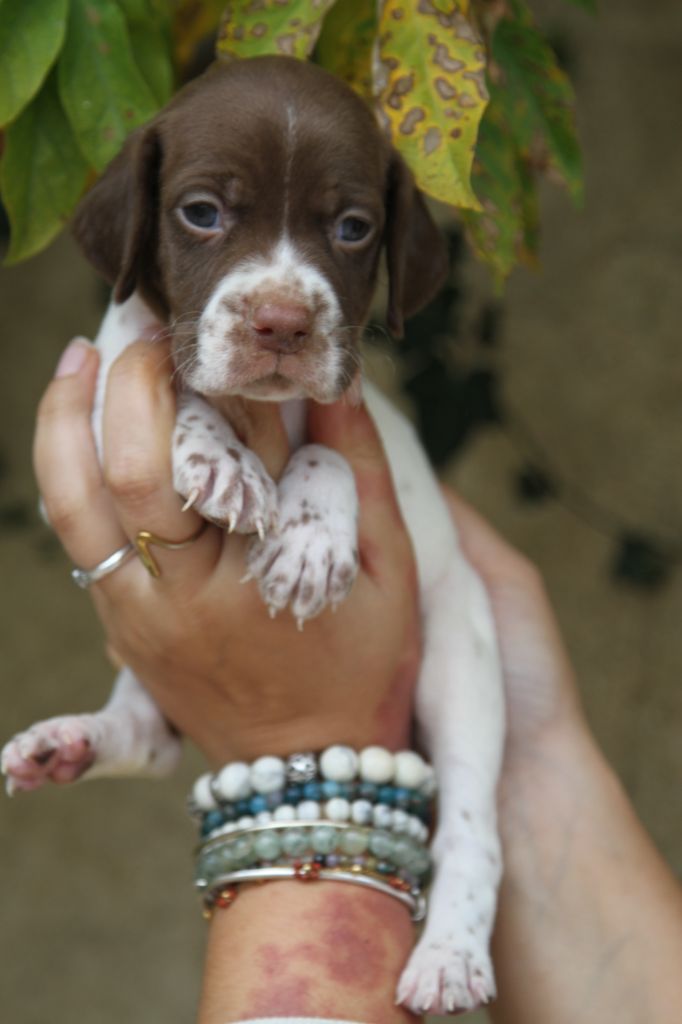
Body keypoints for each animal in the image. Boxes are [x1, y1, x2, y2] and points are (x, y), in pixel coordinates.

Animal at [1, 58, 503, 1015]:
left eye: (352, 228)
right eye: (202, 212)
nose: (281, 323)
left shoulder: (368, 429)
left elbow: (326, 452)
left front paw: (308, 537)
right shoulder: (93, 403)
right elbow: (178, 385)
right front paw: (219, 454)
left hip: (465, 660)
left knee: (472, 830)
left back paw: (452, 954)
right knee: (151, 738)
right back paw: (68, 744)